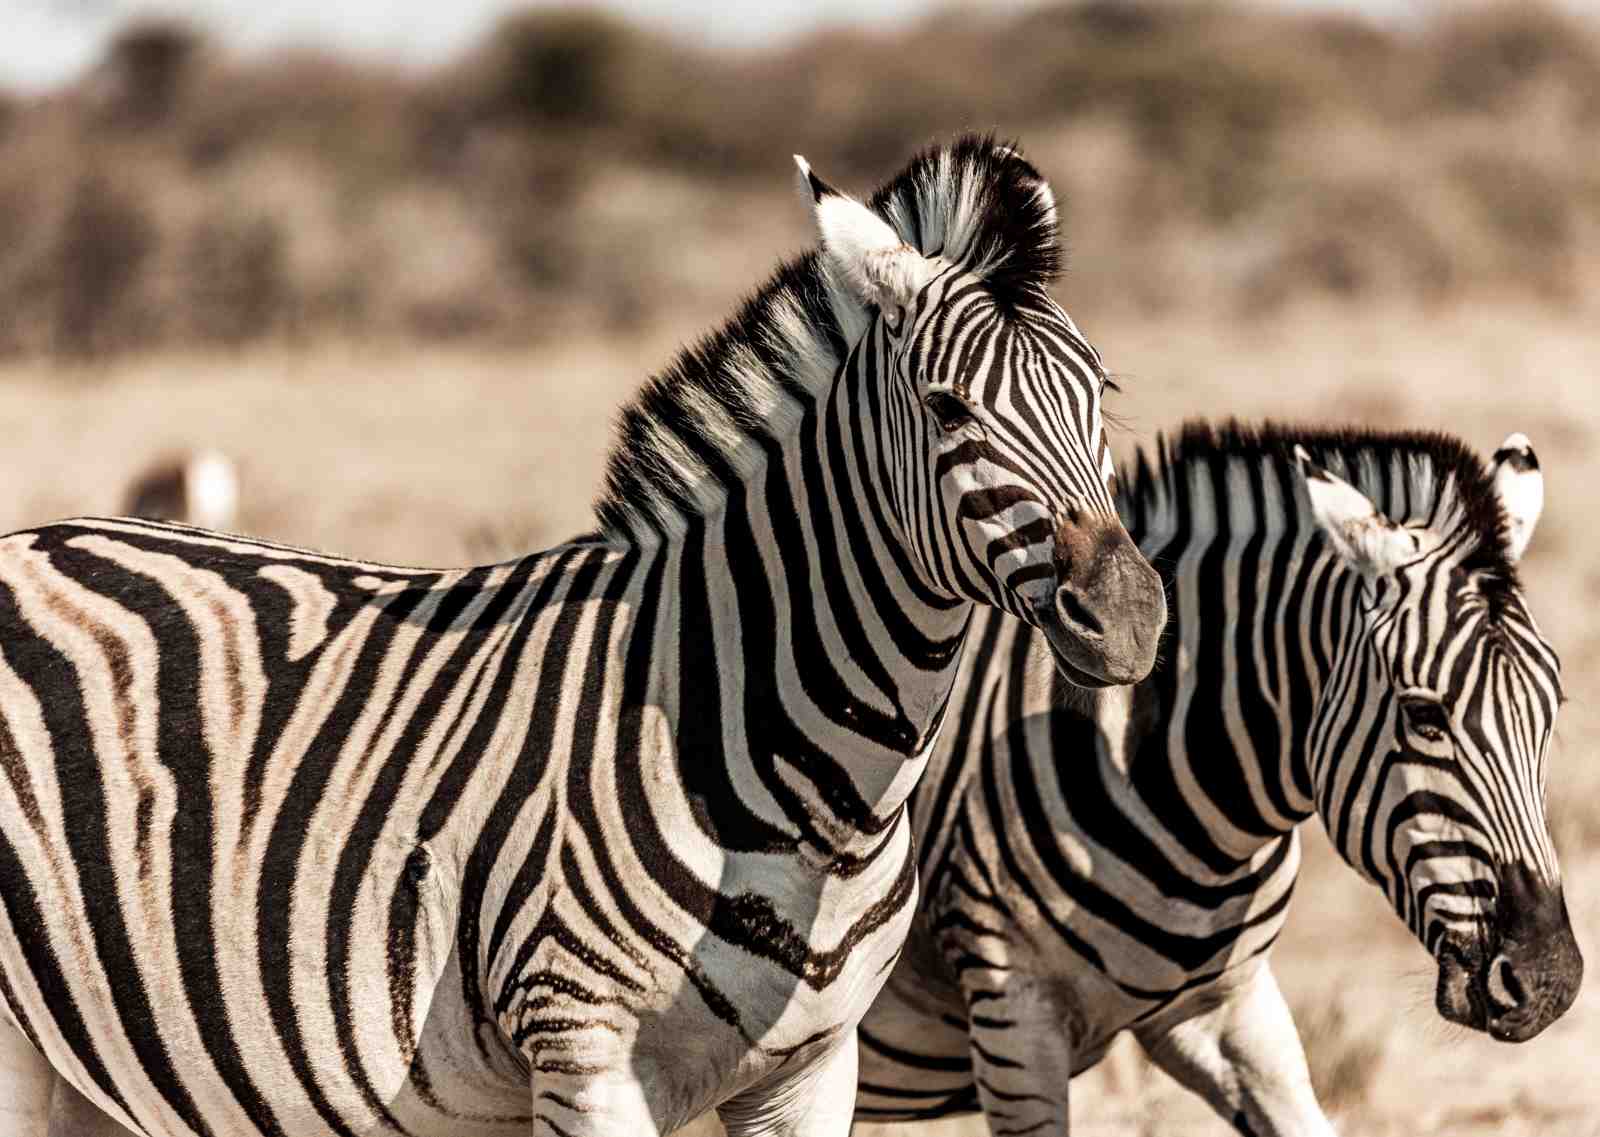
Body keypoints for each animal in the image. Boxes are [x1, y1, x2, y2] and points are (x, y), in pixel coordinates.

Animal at [0, 135, 1166, 1137]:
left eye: (1101, 388)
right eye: (945, 405)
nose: (1127, 614)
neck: (821, 797)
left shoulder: (812, 1070)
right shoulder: (584, 1058)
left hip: (100, 1066)